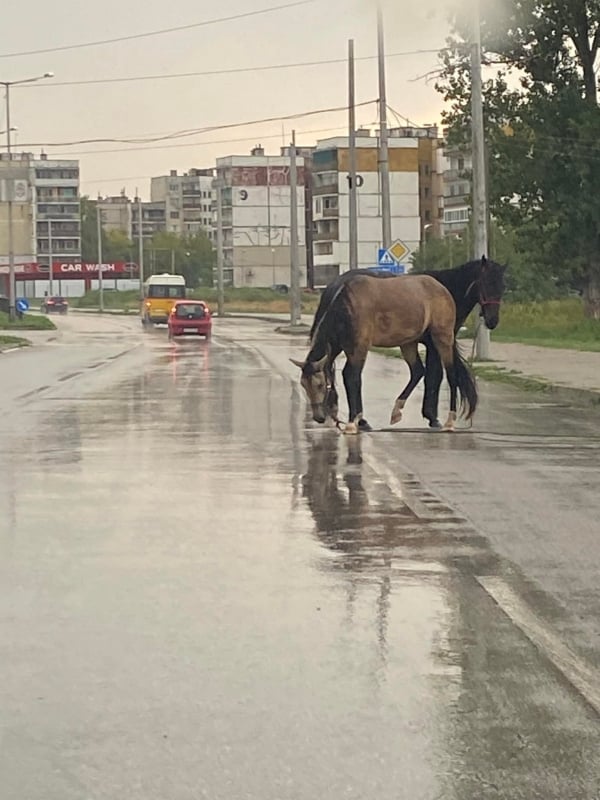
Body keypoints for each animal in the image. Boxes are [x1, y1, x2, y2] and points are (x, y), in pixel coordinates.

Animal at [310, 260, 506, 428]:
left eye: (502, 287)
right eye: (485, 284)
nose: (492, 321)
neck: (448, 288)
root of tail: (334, 286)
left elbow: (429, 374)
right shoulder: (433, 344)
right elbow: (434, 376)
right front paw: (432, 417)